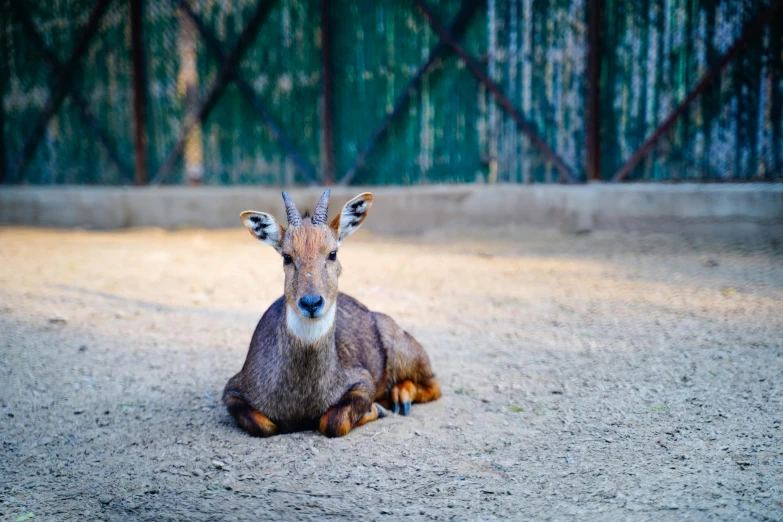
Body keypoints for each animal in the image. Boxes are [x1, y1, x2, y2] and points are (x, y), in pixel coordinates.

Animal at [224, 189, 440, 436]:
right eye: (287, 256)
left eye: (332, 253)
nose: (311, 303)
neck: (301, 395)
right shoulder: (233, 390)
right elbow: (264, 426)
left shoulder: (363, 381)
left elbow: (333, 421)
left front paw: (374, 409)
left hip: (403, 350)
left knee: (434, 384)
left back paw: (400, 398)